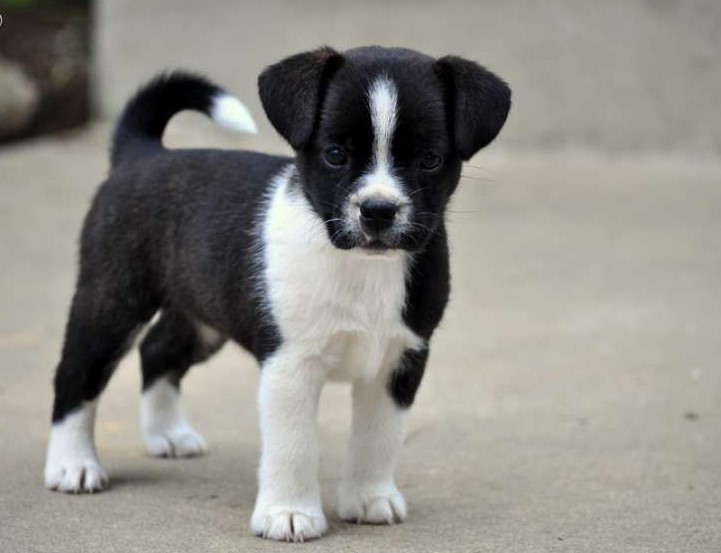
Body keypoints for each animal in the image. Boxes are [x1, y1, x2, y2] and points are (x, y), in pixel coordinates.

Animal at [43, 46, 512, 540]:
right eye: (335, 154)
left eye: (429, 159)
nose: (378, 210)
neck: (359, 267)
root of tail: (141, 153)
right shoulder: (290, 364)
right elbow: (294, 444)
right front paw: (289, 513)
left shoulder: (400, 359)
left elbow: (378, 436)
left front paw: (369, 497)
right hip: (110, 303)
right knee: (76, 374)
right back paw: (72, 466)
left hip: (203, 317)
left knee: (157, 349)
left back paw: (166, 435)